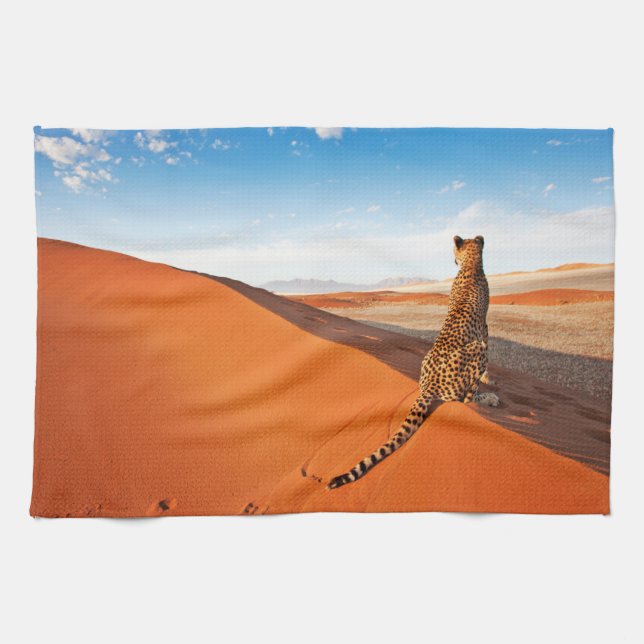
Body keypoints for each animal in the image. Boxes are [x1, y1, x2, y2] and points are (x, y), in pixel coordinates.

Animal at [327, 235, 499, 490]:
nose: (453, 260)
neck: (471, 266)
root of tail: (429, 386)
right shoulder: (484, 332)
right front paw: (489, 382)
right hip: (476, 350)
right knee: (465, 400)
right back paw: (488, 399)